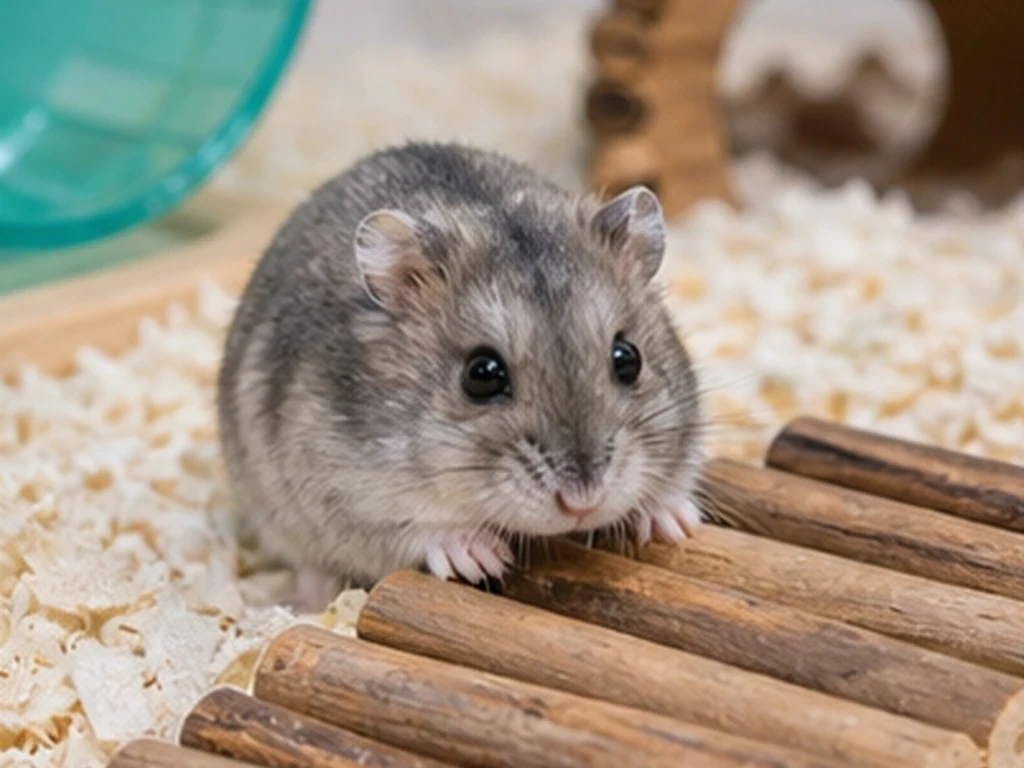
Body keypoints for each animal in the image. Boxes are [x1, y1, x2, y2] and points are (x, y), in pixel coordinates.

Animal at [216, 141, 705, 608]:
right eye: (482, 375)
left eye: (628, 359)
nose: (585, 502)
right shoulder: (343, 497)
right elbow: (413, 526)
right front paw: (481, 555)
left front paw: (675, 521)